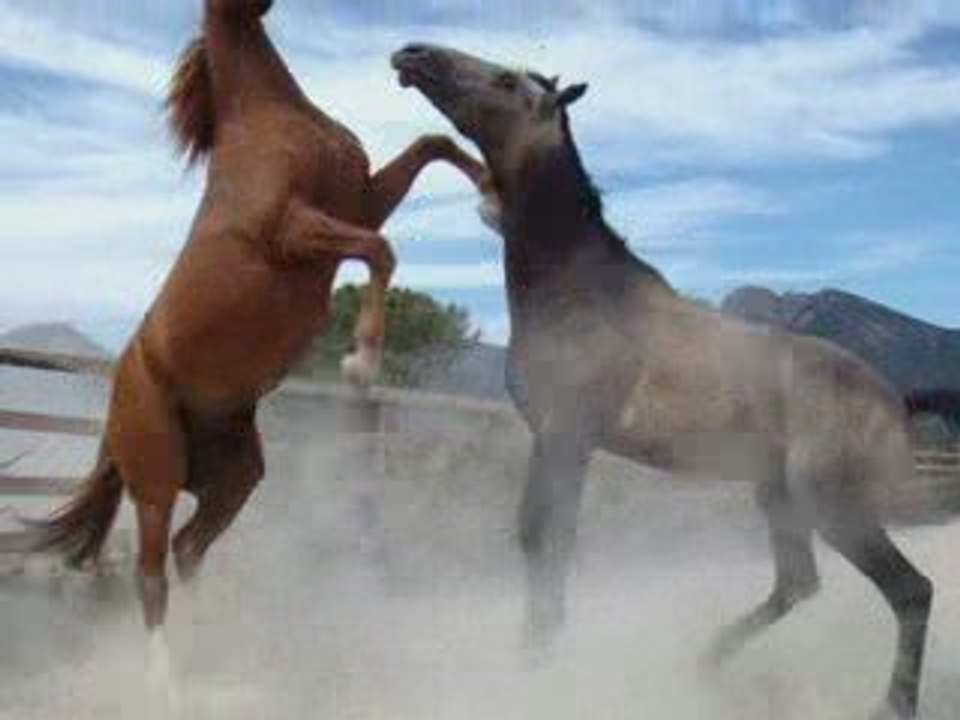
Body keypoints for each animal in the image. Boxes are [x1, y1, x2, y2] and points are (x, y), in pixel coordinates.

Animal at [20, 1, 485, 640]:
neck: (267, 116)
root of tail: (117, 397)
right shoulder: (297, 230)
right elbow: (380, 250)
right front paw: (360, 362)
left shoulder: (359, 199)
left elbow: (432, 143)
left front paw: (492, 188)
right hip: (156, 480)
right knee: (151, 577)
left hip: (235, 475)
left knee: (190, 547)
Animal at [392, 43, 960, 719]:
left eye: (505, 80)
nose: (412, 55)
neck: (576, 291)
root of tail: (896, 399)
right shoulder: (552, 437)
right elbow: (540, 541)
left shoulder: (567, 434)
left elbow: (549, 542)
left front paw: (538, 667)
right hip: (778, 496)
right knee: (799, 583)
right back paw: (706, 662)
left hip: (833, 501)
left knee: (910, 590)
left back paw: (889, 704)